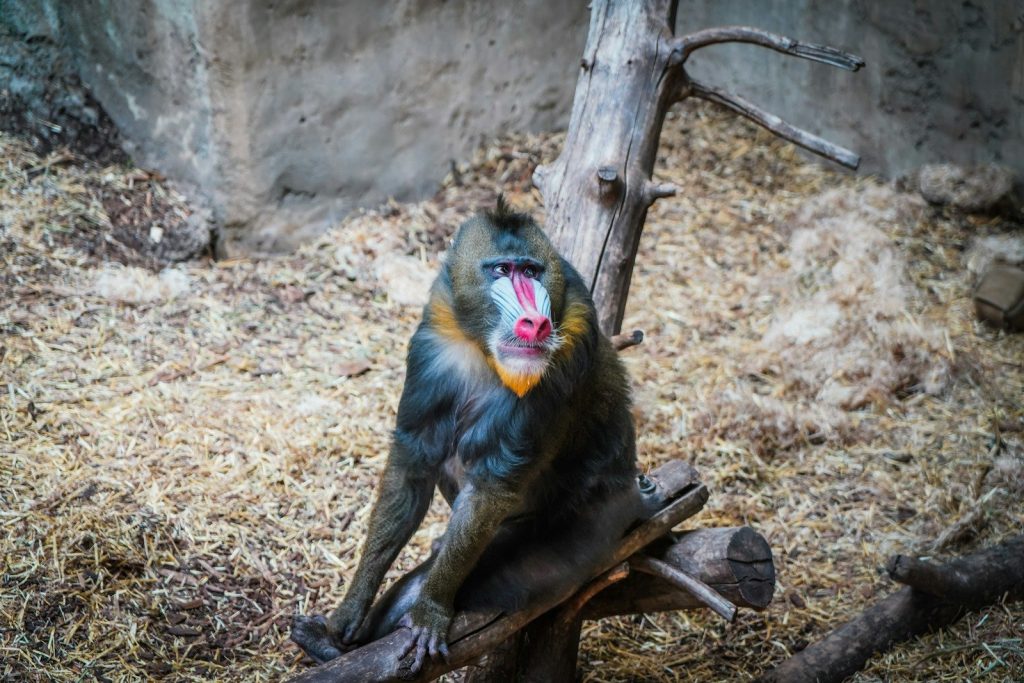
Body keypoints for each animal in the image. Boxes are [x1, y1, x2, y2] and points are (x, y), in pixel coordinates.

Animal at [291, 198, 653, 673]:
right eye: (501, 270)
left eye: (532, 271)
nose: (535, 323)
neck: (483, 350)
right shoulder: (432, 346)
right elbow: (413, 467)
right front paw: (346, 616)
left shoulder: (571, 341)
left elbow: (489, 486)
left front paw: (430, 610)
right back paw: (325, 645)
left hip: (587, 531)